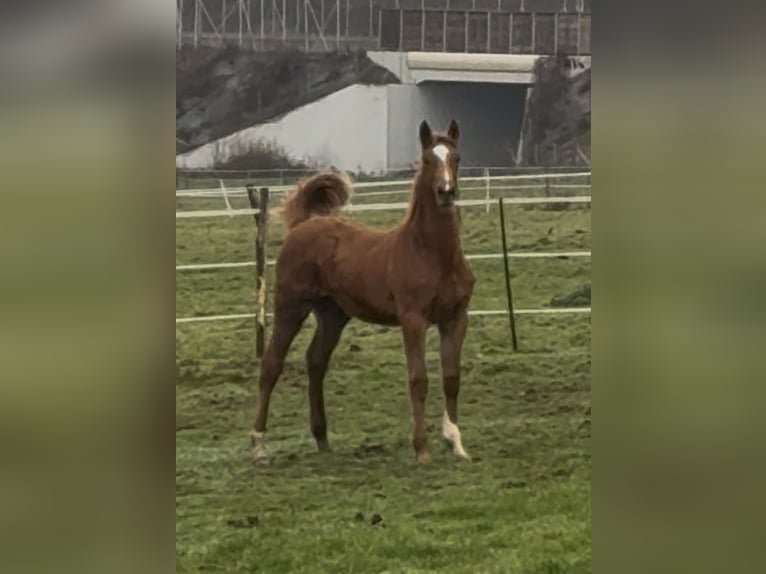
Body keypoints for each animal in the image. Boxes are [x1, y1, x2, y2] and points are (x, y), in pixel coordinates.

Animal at [251, 119, 474, 464]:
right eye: (427, 160)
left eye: (457, 158)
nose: (446, 192)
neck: (432, 254)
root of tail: (303, 225)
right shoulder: (413, 320)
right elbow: (418, 380)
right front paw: (421, 450)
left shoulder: (456, 318)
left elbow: (451, 378)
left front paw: (456, 444)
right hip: (291, 306)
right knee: (272, 364)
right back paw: (259, 446)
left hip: (332, 315)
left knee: (316, 362)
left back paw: (322, 439)